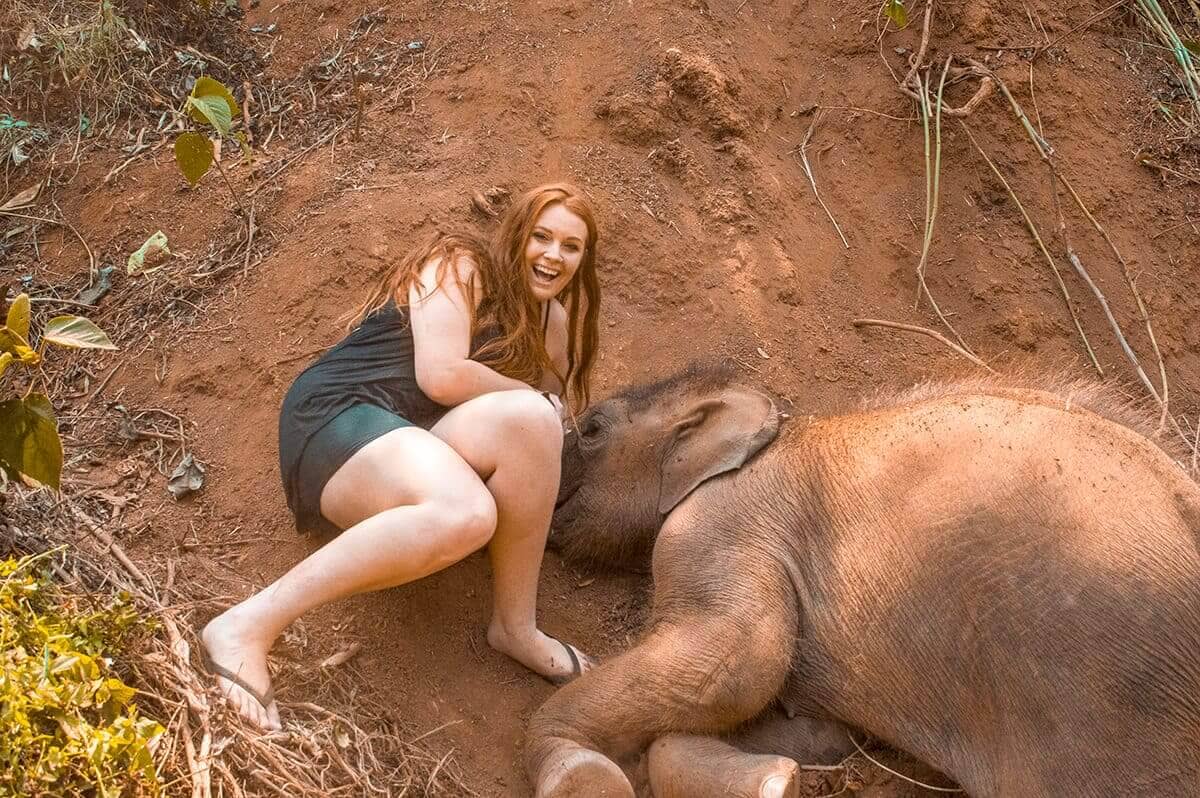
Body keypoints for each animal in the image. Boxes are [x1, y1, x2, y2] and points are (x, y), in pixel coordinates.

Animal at [528, 363, 1200, 798]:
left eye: (593, 428)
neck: (775, 423)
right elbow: (820, 732)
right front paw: (780, 774)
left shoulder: (722, 520)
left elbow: (736, 665)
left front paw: (580, 772)